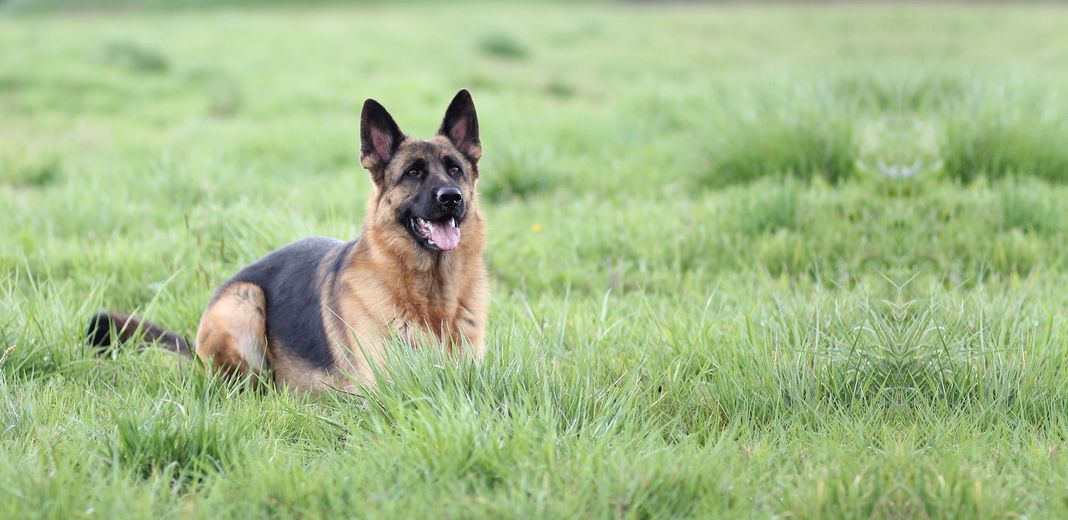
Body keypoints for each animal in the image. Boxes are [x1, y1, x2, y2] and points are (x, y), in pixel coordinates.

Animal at [87, 90, 489, 390]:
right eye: (413, 173)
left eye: (454, 168)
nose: (451, 197)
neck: (432, 298)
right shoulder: (385, 387)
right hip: (245, 301)